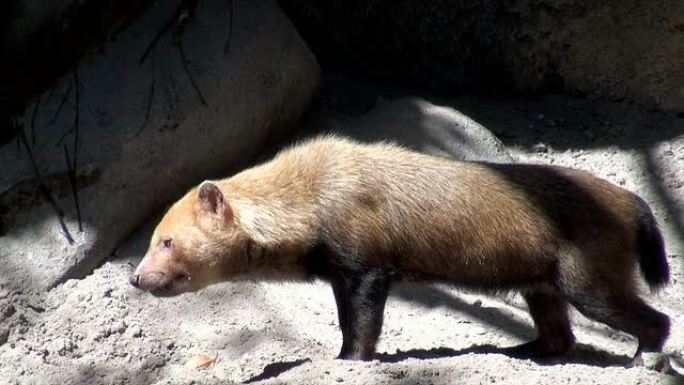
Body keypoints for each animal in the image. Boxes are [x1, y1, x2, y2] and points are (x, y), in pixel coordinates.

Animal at [128, 134, 668, 360]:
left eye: (166, 240)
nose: (134, 276)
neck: (311, 197)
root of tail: (634, 201)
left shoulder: (368, 268)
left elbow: (364, 328)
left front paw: (350, 363)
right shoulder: (340, 275)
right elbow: (347, 323)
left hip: (590, 283)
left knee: (655, 321)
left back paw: (645, 359)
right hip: (542, 286)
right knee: (560, 338)